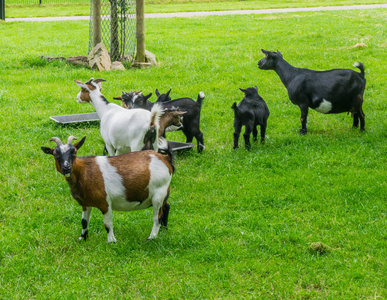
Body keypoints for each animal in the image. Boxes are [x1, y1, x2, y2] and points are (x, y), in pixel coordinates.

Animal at [41, 135, 174, 243]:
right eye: (55, 154)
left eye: (74, 152)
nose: (66, 167)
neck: (85, 172)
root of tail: (166, 159)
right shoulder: (85, 203)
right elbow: (84, 222)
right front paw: (82, 238)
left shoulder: (105, 203)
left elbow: (108, 224)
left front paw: (111, 241)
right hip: (163, 194)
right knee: (166, 206)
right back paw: (164, 229)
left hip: (158, 194)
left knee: (157, 216)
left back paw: (151, 238)